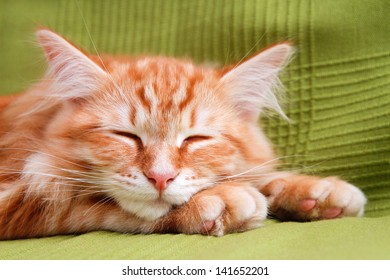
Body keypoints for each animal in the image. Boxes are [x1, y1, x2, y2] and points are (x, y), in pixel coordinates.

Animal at [0, 29, 366, 241]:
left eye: (195, 140)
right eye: (126, 136)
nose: (160, 177)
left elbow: (256, 173)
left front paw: (314, 190)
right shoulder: (21, 192)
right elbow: (86, 204)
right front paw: (217, 201)